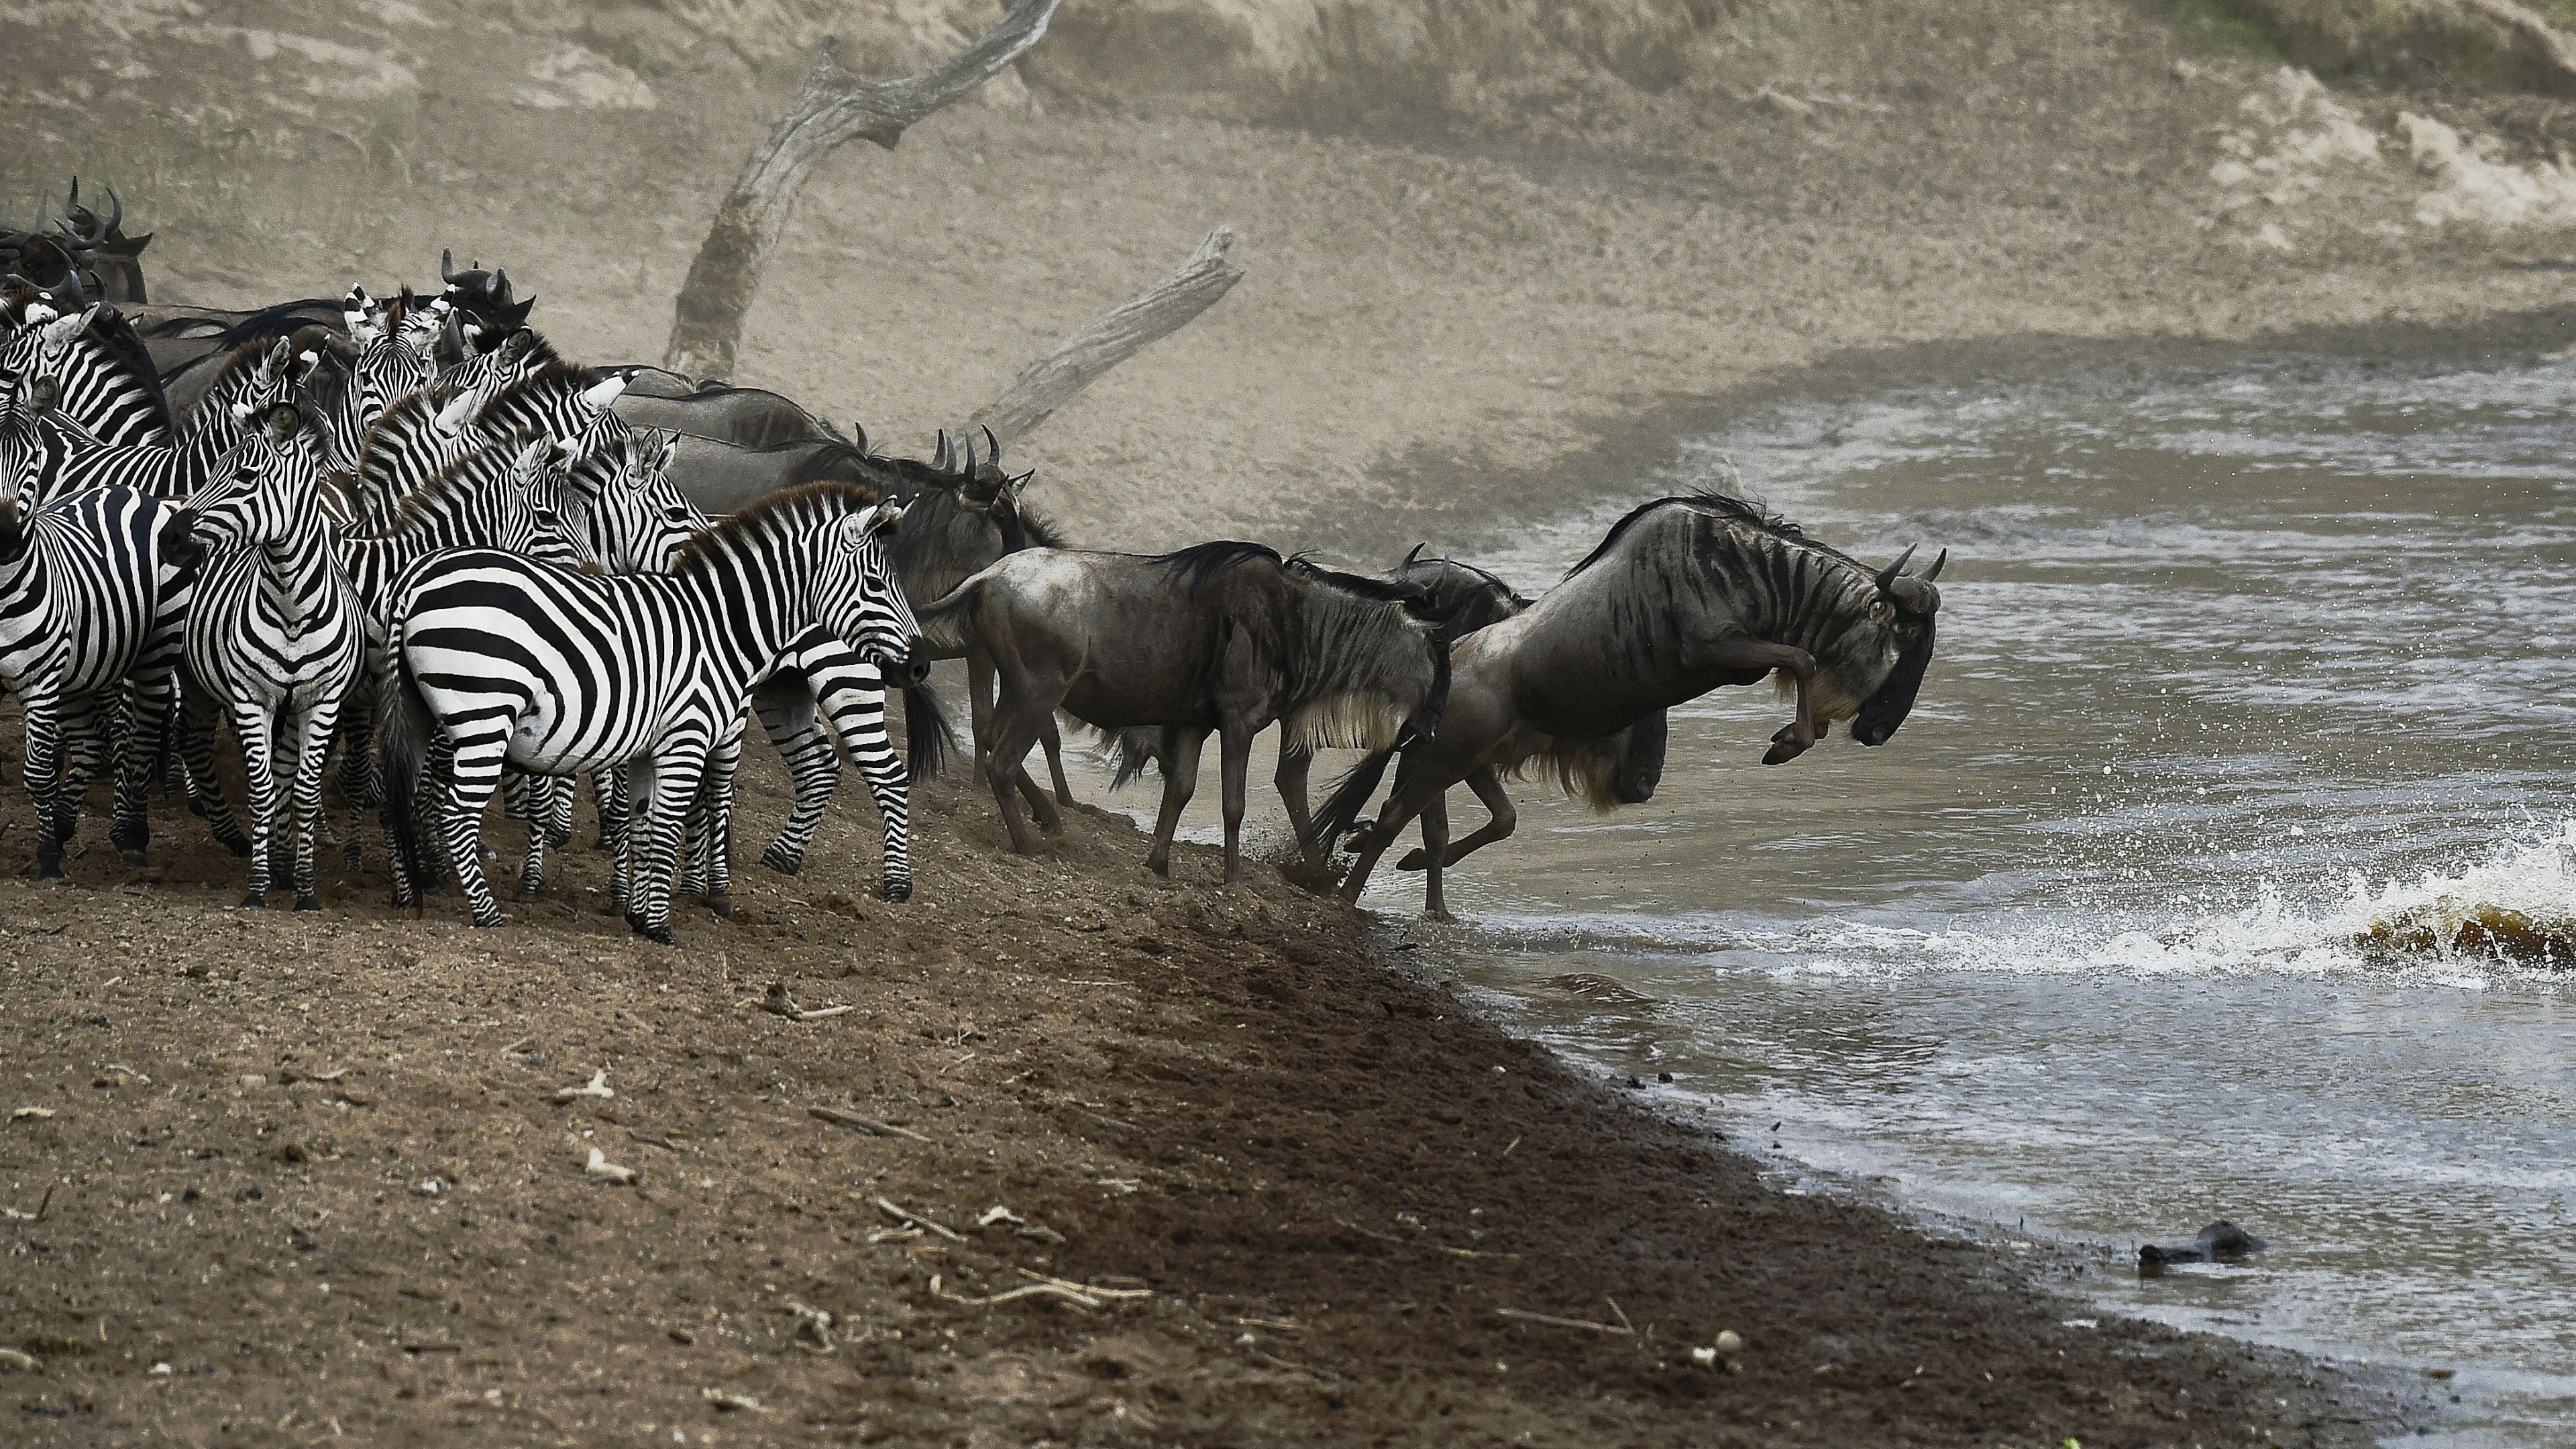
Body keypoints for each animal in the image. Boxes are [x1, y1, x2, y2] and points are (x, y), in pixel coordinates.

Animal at [162, 403, 365, 910]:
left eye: (246, 476)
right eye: (213, 469)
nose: (171, 538)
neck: (293, 607)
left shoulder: (320, 702)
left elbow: (302, 791)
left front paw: (304, 885)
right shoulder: (252, 698)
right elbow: (262, 790)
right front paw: (258, 885)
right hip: (183, 668)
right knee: (188, 738)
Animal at [378, 483, 920, 942]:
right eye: (875, 584)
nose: (921, 665)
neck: (719, 628)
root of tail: (415, 581)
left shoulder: (647, 748)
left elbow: (641, 828)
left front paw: (637, 914)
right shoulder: (687, 738)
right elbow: (664, 830)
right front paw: (659, 926)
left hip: (419, 714)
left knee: (395, 799)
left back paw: (408, 894)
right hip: (484, 719)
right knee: (455, 815)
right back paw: (487, 914)